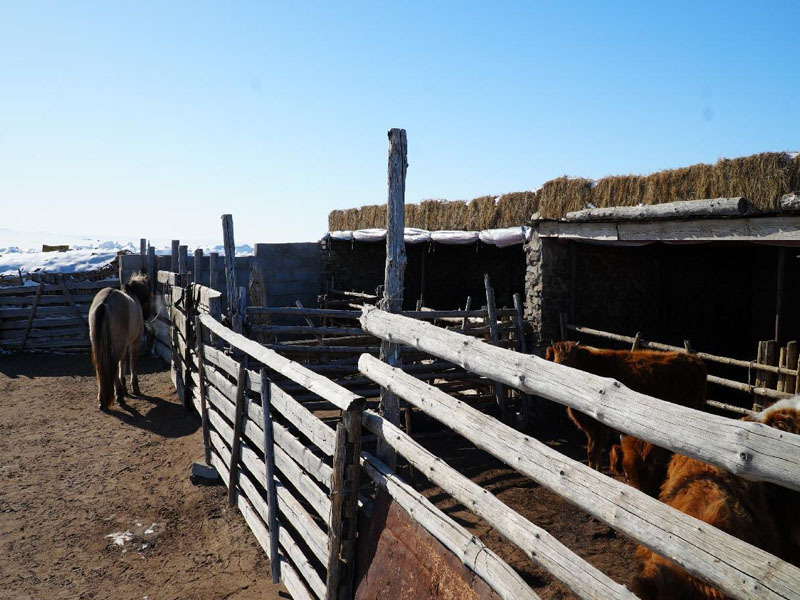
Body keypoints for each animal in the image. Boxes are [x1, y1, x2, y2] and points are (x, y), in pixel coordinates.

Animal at [89, 274, 152, 410]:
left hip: (101, 345)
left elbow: (122, 363)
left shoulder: (125, 346)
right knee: (112, 366)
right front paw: (134, 387)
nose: (148, 314)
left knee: (101, 368)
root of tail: (104, 303)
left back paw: (102, 398)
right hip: (119, 345)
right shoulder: (134, 343)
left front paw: (125, 387)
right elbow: (133, 364)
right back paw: (118, 396)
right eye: (149, 294)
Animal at [544, 342, 708, 496]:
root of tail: (695, 360)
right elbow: (598, 451)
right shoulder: (598, 430)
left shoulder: (595, 428)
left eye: (572, 360)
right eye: (555, 359)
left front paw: (594, 472)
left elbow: (593, 452)